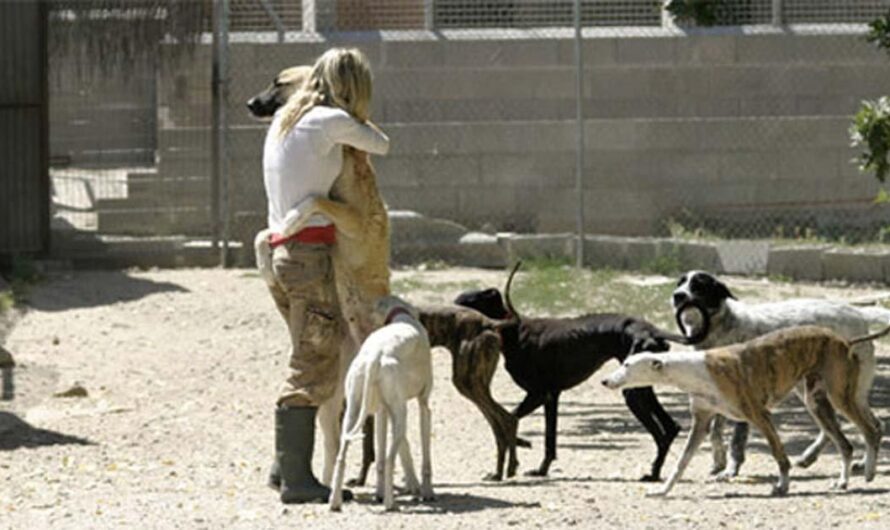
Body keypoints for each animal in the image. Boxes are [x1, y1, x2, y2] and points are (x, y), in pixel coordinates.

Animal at [330, 294, 434, 510]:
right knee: (388, 459)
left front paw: (379, 492)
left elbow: (380, 453)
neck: (401, 315)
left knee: (342, 456)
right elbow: (425, 457)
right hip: (401, 414)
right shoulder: (424, 405)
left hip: (352, 413)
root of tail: (375, 357)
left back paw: (335, 501)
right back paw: (389, 503)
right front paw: (428, 492)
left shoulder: (381, 412)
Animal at [450, 260, 708, 478]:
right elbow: (547, 438)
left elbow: (511, 418)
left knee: (663, 432)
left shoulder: (539, 394)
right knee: (671, 428)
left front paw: (521, 446)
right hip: (641, 388)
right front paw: (541, 468)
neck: (513, 330)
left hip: (633, 393)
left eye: (465, 302)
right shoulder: (551, 397)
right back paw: (655, 471)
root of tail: (652, 329)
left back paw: (653, 473)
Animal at [600, 320, 884, 498]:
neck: (695, 371)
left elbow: (779, 455)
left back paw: (869, 471)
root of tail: (844, 340)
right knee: (846, 444)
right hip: (816, 403)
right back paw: (844, 481)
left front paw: (782, 486)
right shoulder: (701, 422)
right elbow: (681, 462)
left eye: (627, 365)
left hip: (840, 397)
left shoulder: (759, 415)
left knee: (870, 430)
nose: (604, 381)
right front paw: (663, 490)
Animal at [668, 270, 884, 476]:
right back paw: (821, 458)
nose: (677, 296)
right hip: (818, 391)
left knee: (867, 425)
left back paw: (861, 463)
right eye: (680, 283)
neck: (719, 329)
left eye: (698, 286)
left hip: (841, 390)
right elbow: (715, 432)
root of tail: (858, 313)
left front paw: (731, 468)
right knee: (863, 424)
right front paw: (718, 461)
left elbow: (736, 440)